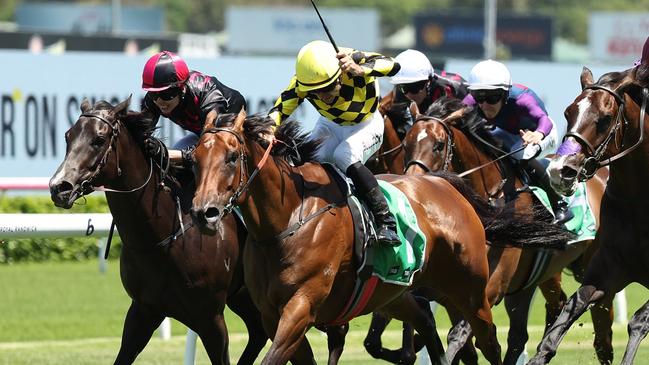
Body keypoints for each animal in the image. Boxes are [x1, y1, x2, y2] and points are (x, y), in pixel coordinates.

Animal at [47, 97, 266, 364]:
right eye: (68, 136)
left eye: (98, 139)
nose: (59, 187)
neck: (162, 240)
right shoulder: (144, 311)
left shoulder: (211, 318)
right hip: (243, 297)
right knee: (259, 332)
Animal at [189, 111, 572, 364]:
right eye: (195, 159)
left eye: (232, 156)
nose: (203, 212)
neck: (288, 218)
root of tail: (448, 185)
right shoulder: (271, 315)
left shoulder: (301, 307)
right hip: (402, 292)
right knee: (431, 326)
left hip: (472, 291)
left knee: (488, 342)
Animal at [400, 97, 608, 364]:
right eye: (406, 144)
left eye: (438, 145)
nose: (412, 184)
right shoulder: (451, 291)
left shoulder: (490, 288)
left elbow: (461, 335)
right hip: (533, 281)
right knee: (528, 328)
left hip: (589, 263)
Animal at [528, 64, 648, 364]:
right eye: (568, 113)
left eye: (605, 119)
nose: (560, 170)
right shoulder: (607, 268)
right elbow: (568, 313)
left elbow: (638, 321)